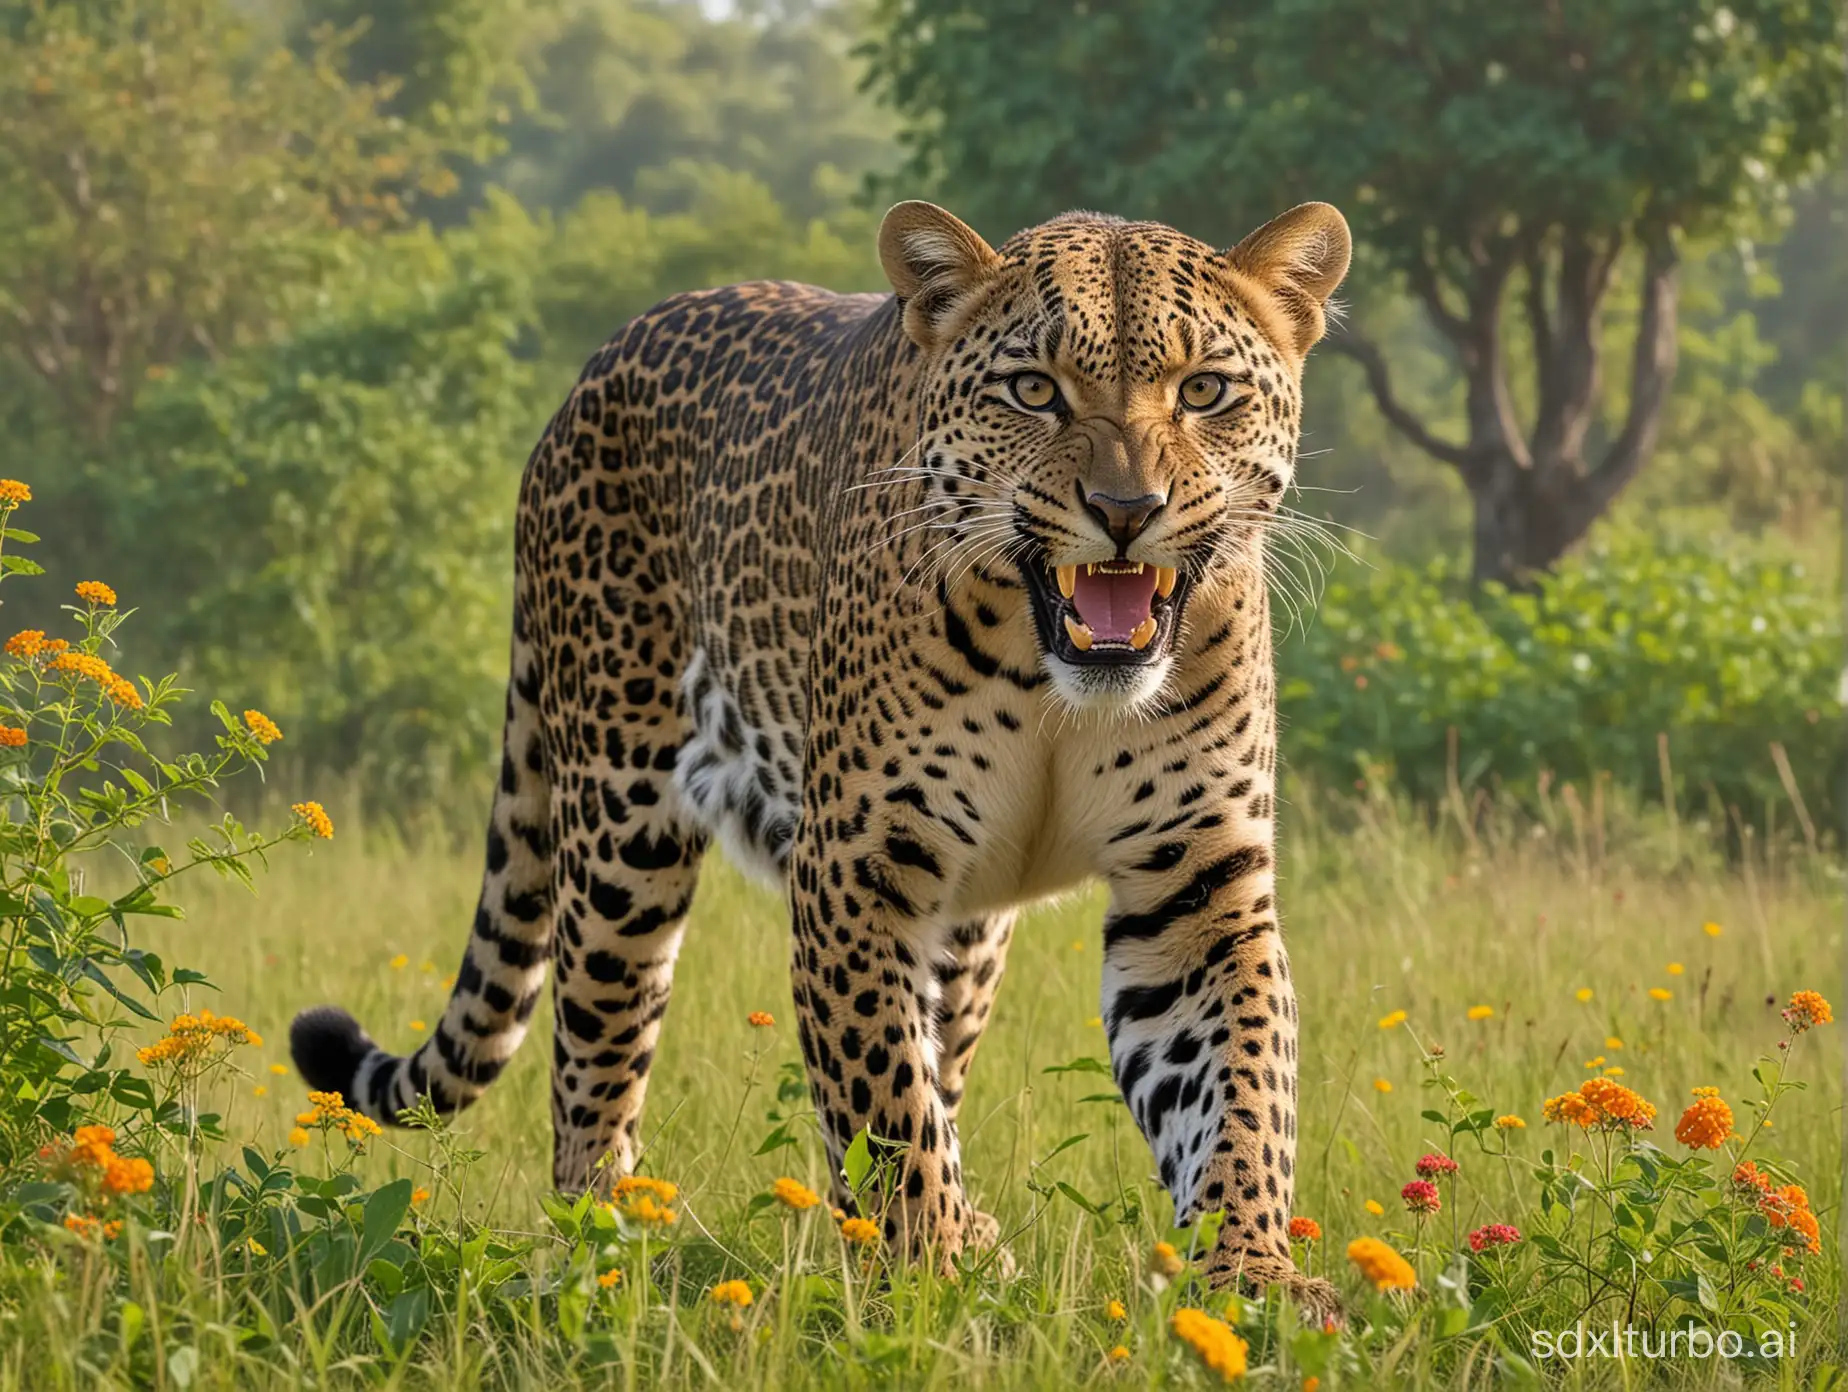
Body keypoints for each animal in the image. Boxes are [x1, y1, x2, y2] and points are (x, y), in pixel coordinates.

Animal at [295, 195, 1352, 1316]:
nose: (1125, 512)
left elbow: (1239, 1091)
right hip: (620, 828)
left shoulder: (1196, 882)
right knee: (592, 1063)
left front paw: (1253, 1275)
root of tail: (592, 370)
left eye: (1205, 392)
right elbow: (886, 1100)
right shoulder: (856, 867)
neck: (1053, 682)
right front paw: (928, 1275)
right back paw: (606, 1249)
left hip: (968, 929)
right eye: (1034, 390)